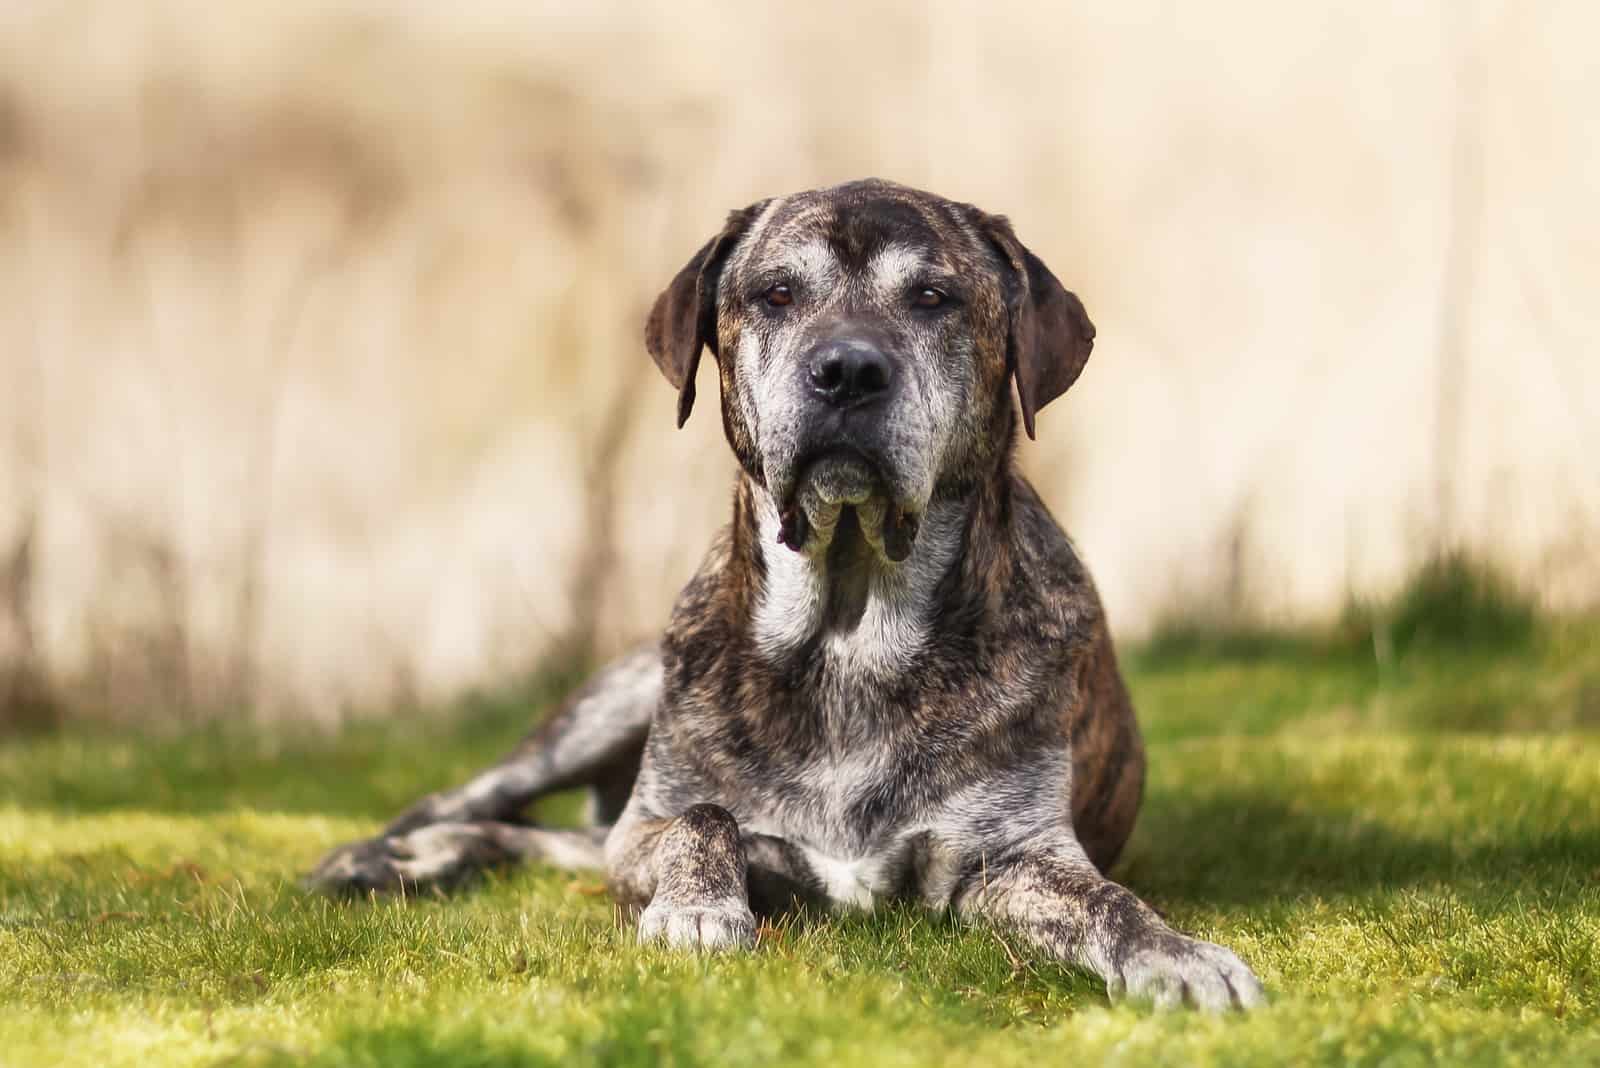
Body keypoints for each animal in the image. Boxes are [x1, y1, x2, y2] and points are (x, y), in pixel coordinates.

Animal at [308, 179, 1260, 1016]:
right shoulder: (646, 829)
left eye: (933, 297)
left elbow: (1108, 899)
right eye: (775, 294)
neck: (848, 629)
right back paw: (384, 857)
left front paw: (1176, 954)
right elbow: (702, 818)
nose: (846, 370)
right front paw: (697, 911)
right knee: (473, 801)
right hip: (606, 706)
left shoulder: (1013, 854)